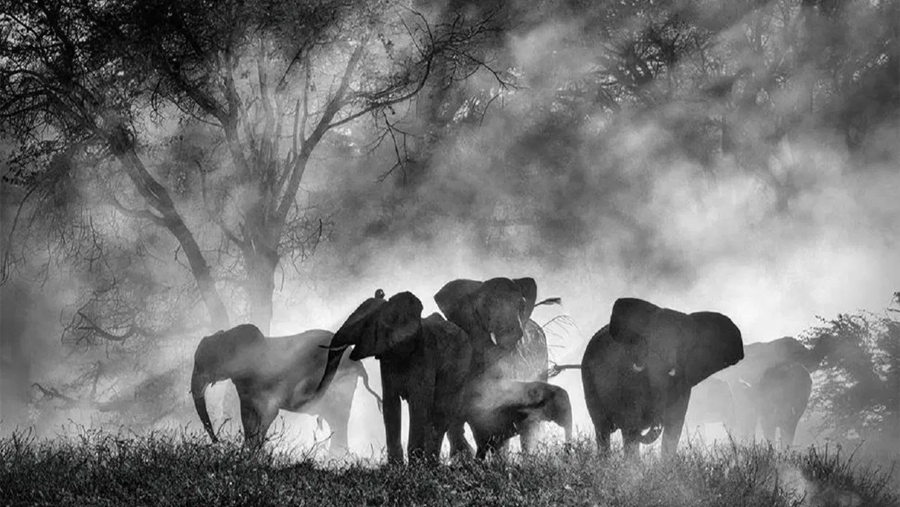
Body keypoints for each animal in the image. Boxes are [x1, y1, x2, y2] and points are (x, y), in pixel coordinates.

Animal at [190, 323, 381, 452]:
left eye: (204, 364)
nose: (218, 442)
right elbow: (247, 416)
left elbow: (268, 413)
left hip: (341, 383)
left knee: (338, 419)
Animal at [317, 290, 473, 465]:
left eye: (365, 325)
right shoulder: (387, 359)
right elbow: (390, 404)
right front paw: (395, 466)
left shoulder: (424, 356)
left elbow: (418, 404)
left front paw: (415, 466)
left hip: (460, 370)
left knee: (441, 413)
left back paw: (433, 463)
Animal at [581, 297, 744, 458]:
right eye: (648, 340)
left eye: (682, 346)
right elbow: (631, 423)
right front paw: (633, 466)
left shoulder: (683, 383)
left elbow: (674, 427)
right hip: (588, 380)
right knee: (602, 429)